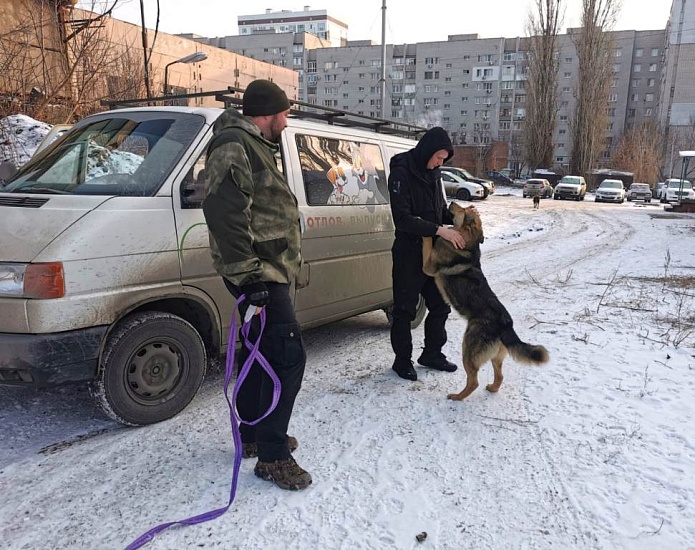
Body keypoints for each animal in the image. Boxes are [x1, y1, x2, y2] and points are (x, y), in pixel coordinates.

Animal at [424, 203, 548, 402]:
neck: (468, 242)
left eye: (463, 210)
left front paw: (432, 230)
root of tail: (506, 324)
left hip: (468, 349)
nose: (451, 203)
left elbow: (427, 243)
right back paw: (492, 388)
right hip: (495, 357)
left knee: (473, 382)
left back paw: (457, 397)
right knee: (500, 376)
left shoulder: (428, 266)